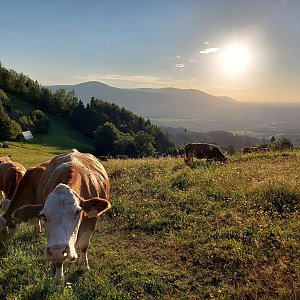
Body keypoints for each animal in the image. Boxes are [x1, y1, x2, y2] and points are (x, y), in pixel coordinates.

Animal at [12, 150, 111, 286]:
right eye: (43, 216)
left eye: (77, 212)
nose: (58, 249)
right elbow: (59, 259)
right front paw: (59, 281)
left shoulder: (91, 222)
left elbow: (84, 245)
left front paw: (83, 265)